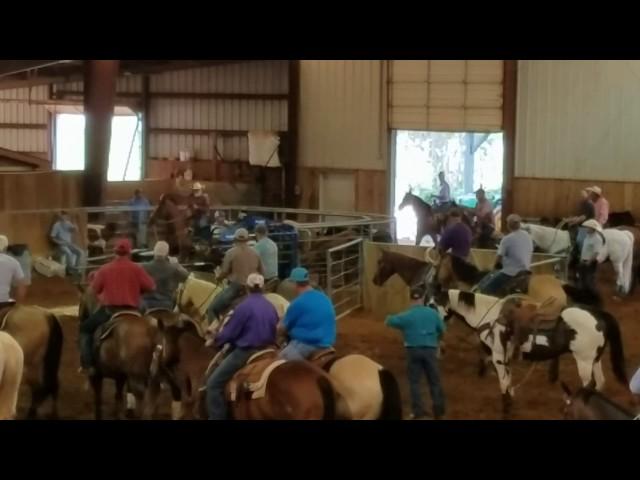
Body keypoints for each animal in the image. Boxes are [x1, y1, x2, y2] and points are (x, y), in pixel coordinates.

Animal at [78, 288, 164, 420]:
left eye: (81, 302)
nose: (80, 317)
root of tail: (151, 329)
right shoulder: (120, 376)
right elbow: (117, 396)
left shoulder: (96, 375)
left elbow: (98, 398)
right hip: (153, 377)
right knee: (152, 397)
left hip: (136, 377)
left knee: (141, 398)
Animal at [432, 288, 628, 416]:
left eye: (432, 305)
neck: (490, 316)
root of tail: (598, 314)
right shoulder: (505, 358)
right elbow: (508, 382)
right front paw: (510, 403)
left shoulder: (498, 357)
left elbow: (503, 383)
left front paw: (506, 410)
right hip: (594, 360)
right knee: (600, 383)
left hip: (584, 361)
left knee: (588, 385)